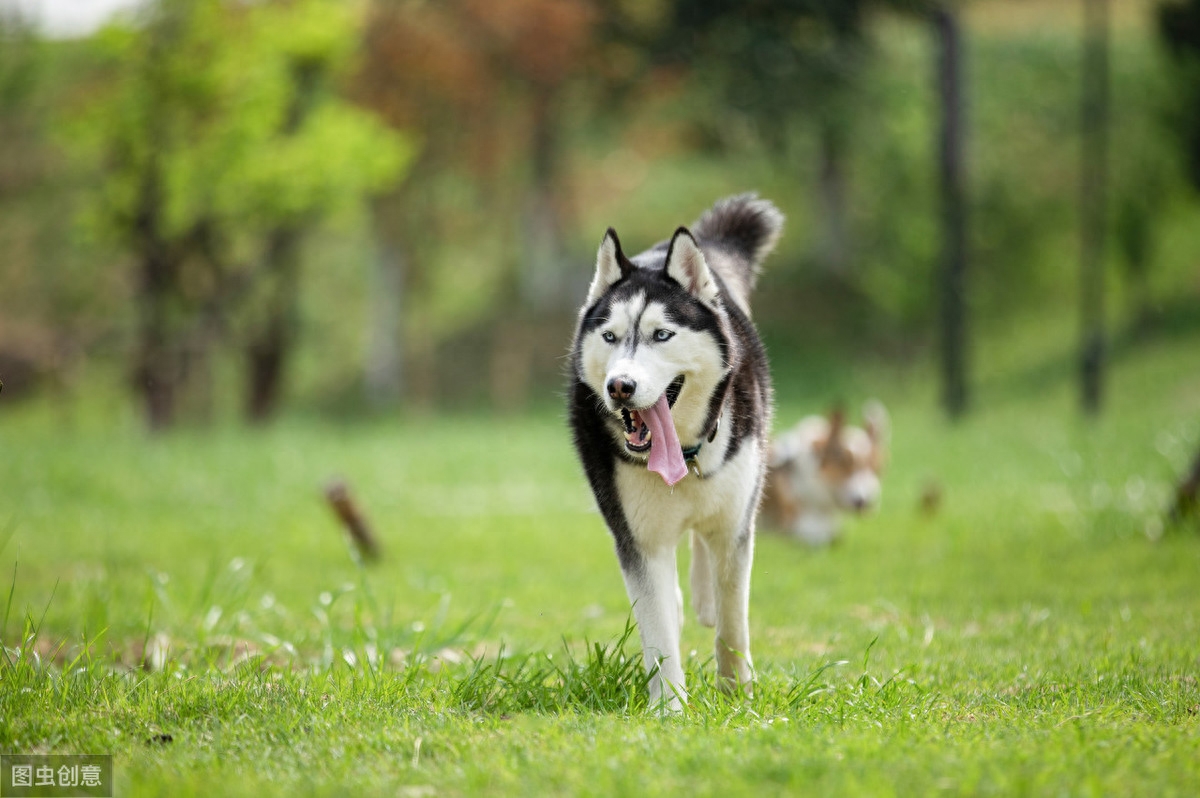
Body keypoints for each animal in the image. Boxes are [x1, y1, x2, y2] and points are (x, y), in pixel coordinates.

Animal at [566, 193, 782, 710]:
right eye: (610, 336)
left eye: (662, 335)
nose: (620, 386)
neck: (684, 457)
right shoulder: (639, 541)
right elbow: (658, 629)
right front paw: (669, 708)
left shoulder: (735, 526)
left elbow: (733, 622)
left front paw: (737, 694)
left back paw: (703, 598)